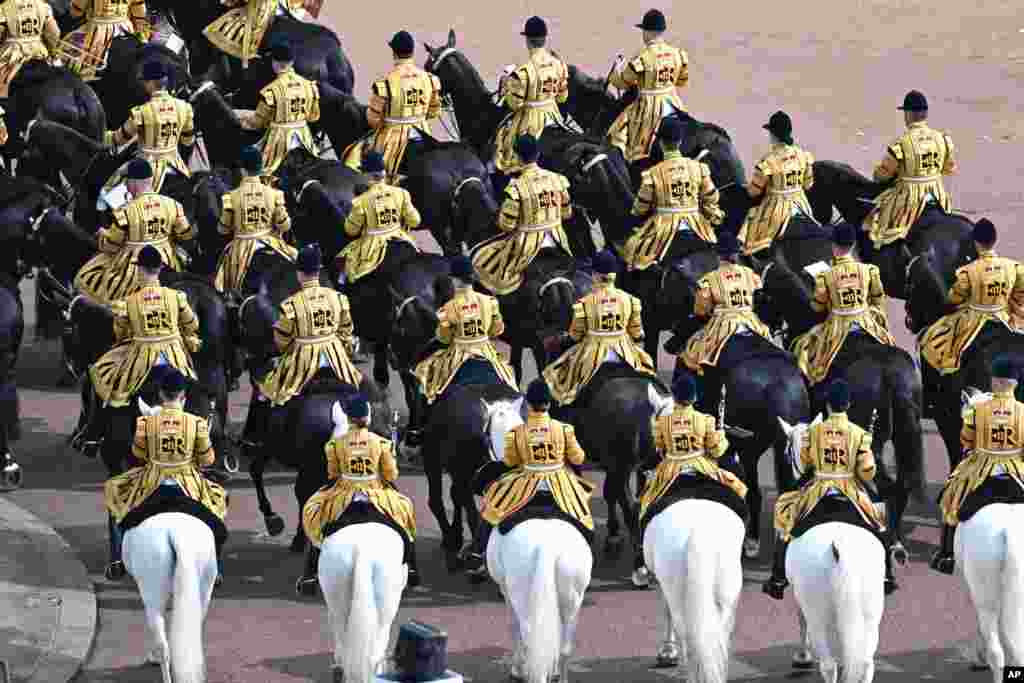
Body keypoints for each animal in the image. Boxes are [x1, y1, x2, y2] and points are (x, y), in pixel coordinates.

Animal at [481, 395, 598, 683]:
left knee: (528, 635)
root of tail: (547, 547)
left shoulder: (505, 589)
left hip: (523, 595)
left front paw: (516, 667)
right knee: (565, 645)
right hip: (573, 597)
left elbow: (513, 626)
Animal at [778, 413, 884, 679]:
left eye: (786, 452)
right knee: (866, 662)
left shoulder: (802, 598)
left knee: (828, 664)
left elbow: (800, 620)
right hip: (871, 613)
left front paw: (802, 656)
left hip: (818, 611)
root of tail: (839, 550)